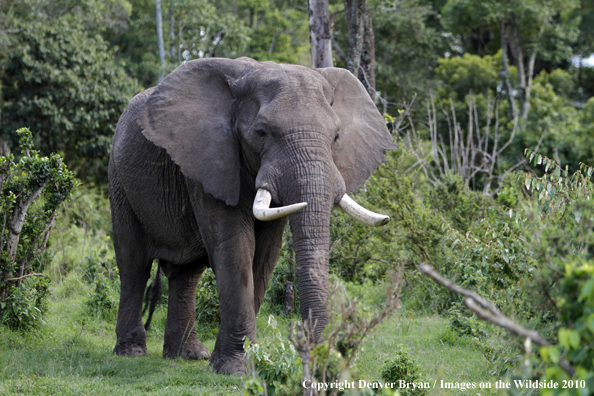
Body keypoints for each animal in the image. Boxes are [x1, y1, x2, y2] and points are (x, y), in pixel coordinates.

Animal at [108, 55, 396, 374]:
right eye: (261, 133)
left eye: (336, 136)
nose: (322, 363)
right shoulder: (210, 161)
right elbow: (235, 247)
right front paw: (236, 369)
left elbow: (266, 253)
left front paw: (243, 361)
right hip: (119, 180)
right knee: (134, 264)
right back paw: (131, 352)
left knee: (188, 274)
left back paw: (190, 355)